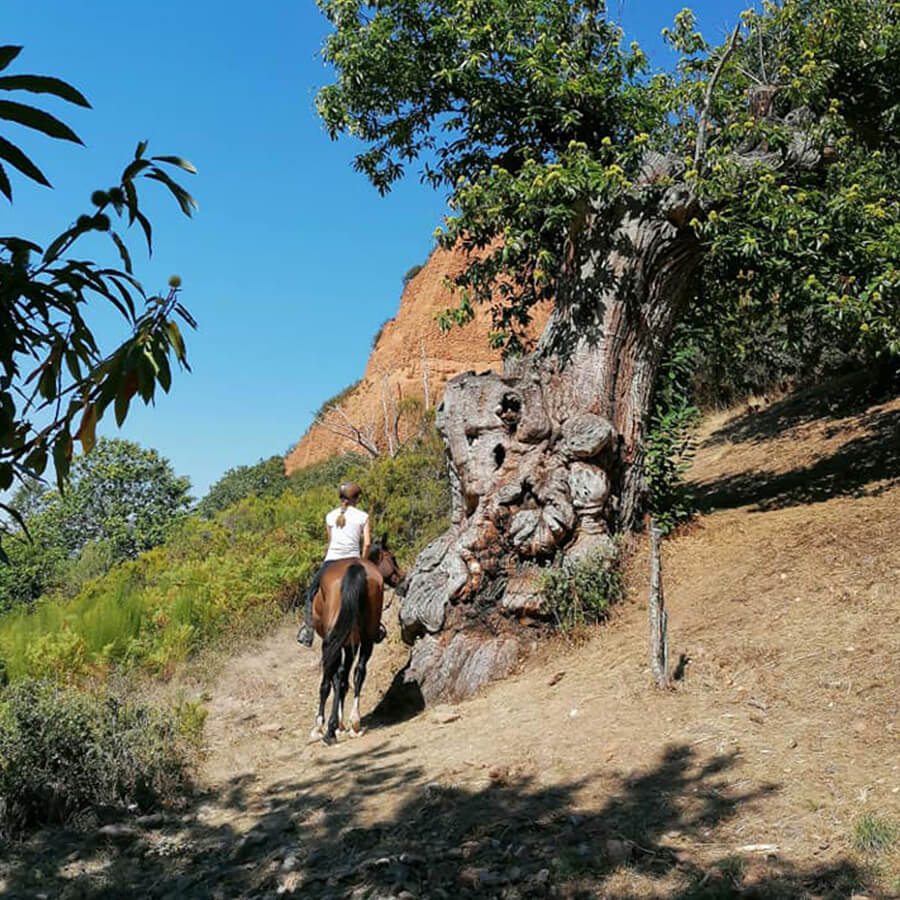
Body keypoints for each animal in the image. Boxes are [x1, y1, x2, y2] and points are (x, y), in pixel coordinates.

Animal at [309, 536, 404, 744]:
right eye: (393, 558)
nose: (403, 579)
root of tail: (355, 568)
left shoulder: (340, 644)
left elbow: (336, 679)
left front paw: (332, 725)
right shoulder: (351, 643)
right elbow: (344, 680)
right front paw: (338, 724)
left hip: (335, 641)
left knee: (329, 679)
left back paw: (325, 729)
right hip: (365, 638)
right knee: (359, 672)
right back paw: (354, 723)